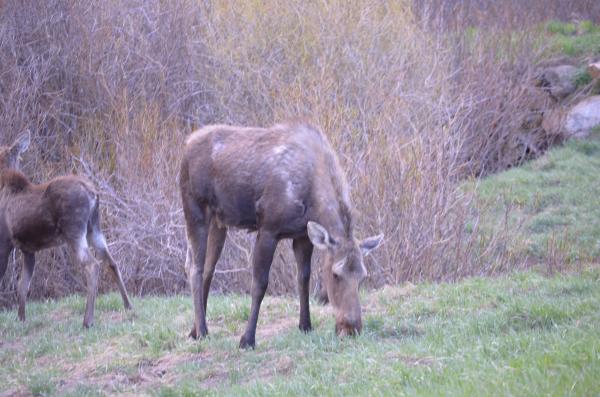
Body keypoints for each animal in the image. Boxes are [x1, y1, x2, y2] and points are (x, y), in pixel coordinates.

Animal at [0, 131, 132, 326]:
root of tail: (93, 193)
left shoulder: (5, 241)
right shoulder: (28, 249)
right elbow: (23, 285)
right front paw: (21, 319)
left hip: (74, 231)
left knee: (92, 265)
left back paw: (87, 320)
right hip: (94, 228)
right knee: (111, 261)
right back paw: (129, 306)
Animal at [179, 122, 384, 348]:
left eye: (362, 277)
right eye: (335, 274)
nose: (351, 328)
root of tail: (186, 143)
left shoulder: (302, 236)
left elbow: (303, 278)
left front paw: (305, 325)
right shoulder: (268, 229)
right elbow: (260, 284)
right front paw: (247, 339)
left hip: (219, 221)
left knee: (208, 269)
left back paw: (194, 330)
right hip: (195, 209)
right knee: (194, 267)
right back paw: (203, 331)